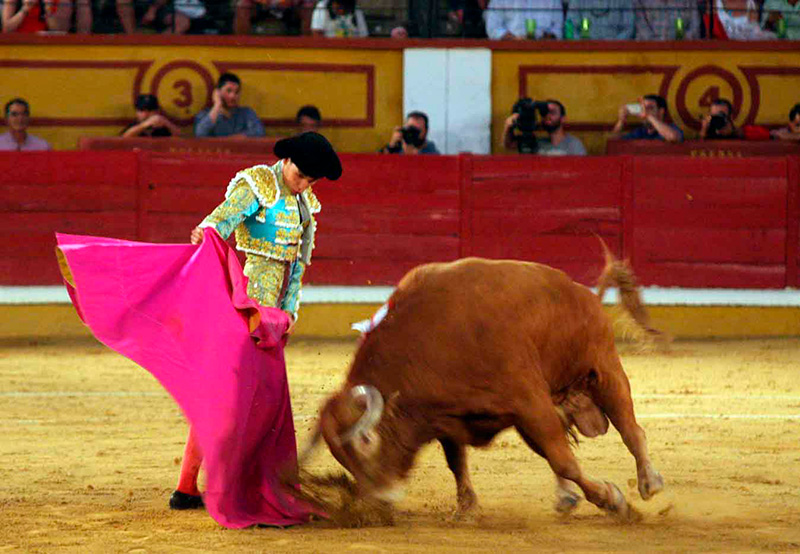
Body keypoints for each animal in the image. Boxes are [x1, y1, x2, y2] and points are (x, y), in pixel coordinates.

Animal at [302, 250, 665, 519]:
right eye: (340, 456)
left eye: (366, 440)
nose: (379, 499)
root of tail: (584, 293)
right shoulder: (446, 416)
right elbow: (457, 462)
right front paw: (466, 508)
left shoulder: (530, 403)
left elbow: (564, 460)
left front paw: (612, 500)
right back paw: (566, 497)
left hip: (603, 368)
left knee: (631, 430)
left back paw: (649, 482)